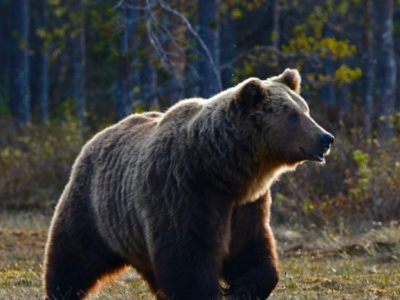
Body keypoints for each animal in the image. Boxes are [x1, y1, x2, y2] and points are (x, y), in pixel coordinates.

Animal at [43, 69, 334, 298]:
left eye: (305, 110)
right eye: (293, 115)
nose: (326, 138)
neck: (222, 169)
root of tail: (97, 136)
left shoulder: (246, 205)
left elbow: (251, 250)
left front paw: (241, 289)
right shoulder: (184, 190)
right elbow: (188, 258)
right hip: (94, 208)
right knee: (71, 258)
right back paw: (61, 290)